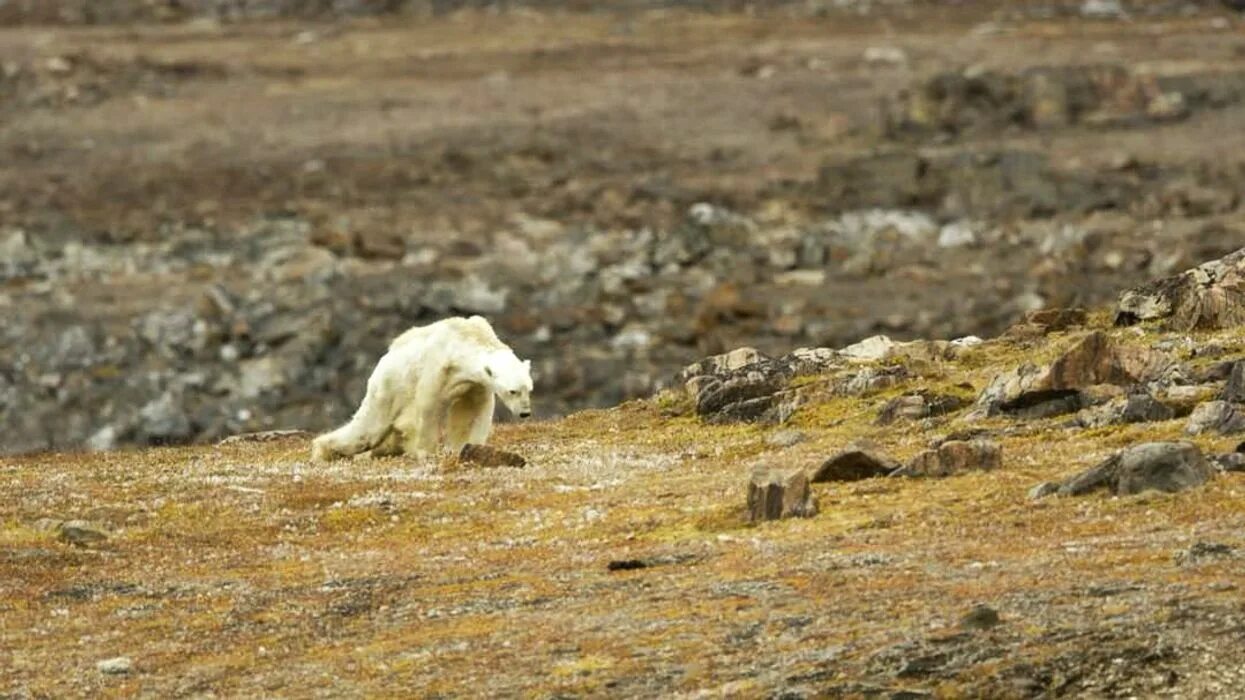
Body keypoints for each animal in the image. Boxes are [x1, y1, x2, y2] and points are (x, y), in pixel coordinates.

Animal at [310, 315, 530, 458]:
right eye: (513, 391)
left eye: (529, 389)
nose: (525, 413)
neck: (467, 337)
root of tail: (385, 357)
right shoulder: (438, 367)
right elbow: (428, 406)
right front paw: (425, 451)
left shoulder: (475, 383)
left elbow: (472, 411)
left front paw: (467, 446)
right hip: (388, 387)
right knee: (368, 430)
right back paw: (324, 450)